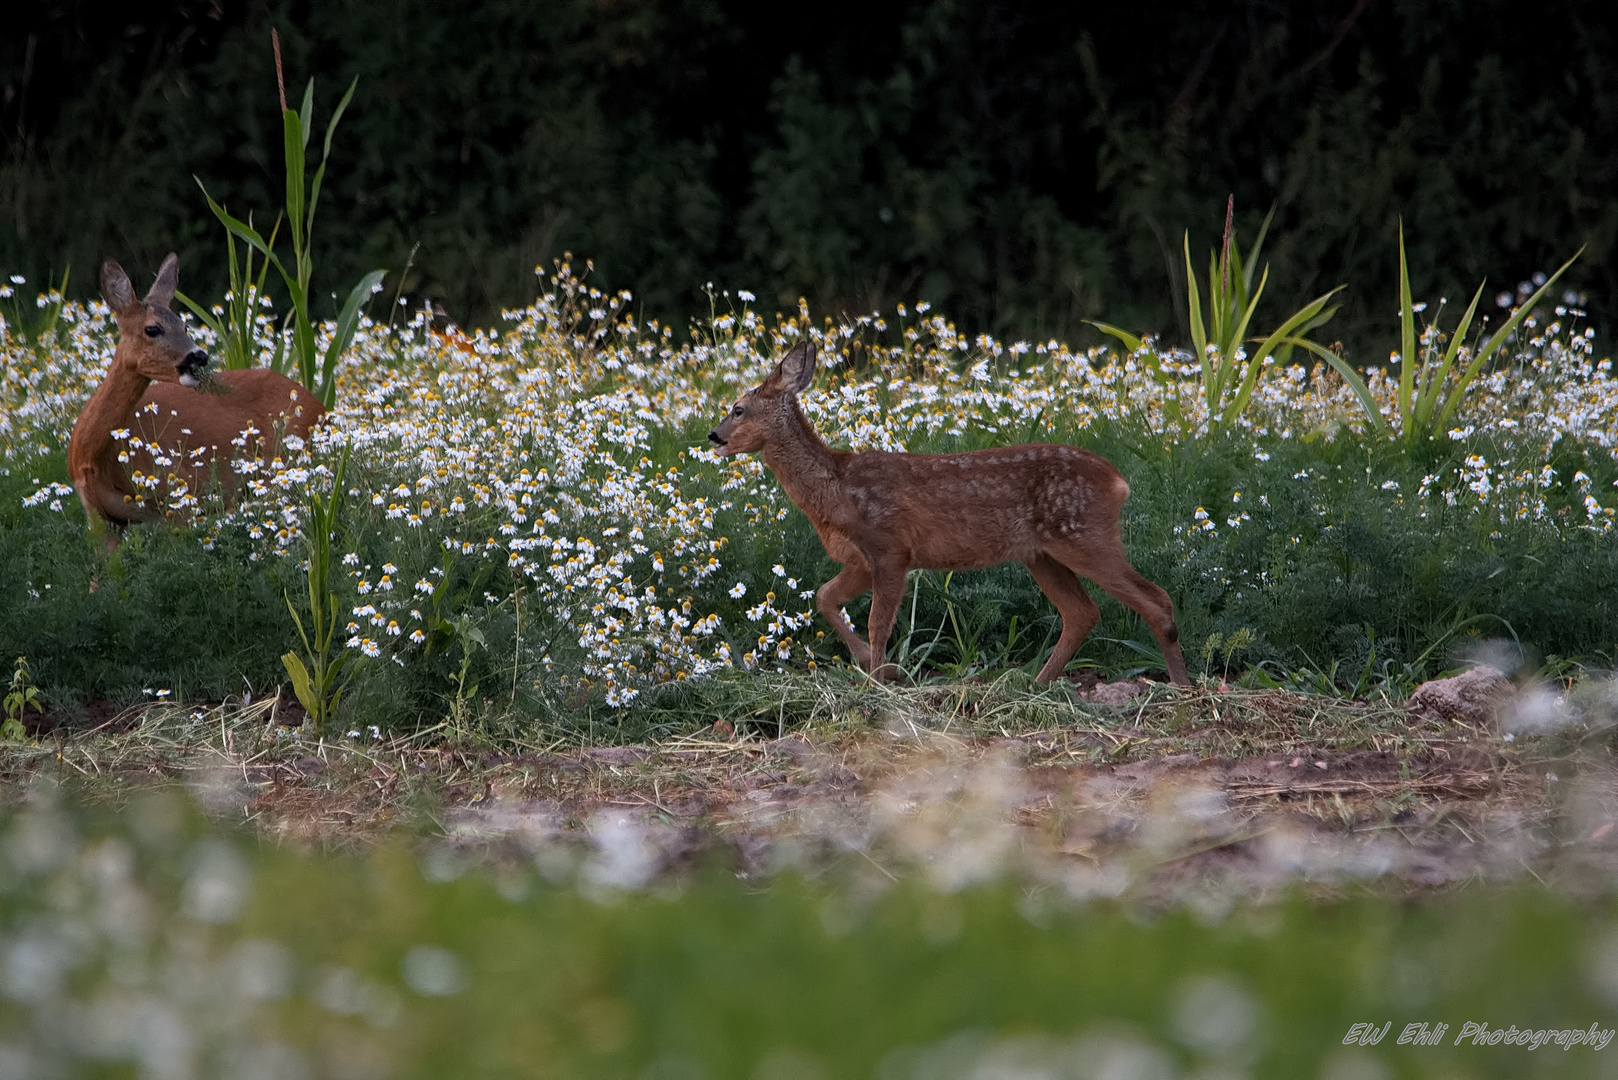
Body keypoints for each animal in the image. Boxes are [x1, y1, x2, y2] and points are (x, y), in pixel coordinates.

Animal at [67, 255, 323, 550]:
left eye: (185, 325)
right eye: (152, 329)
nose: (199, 356)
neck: (95, 459)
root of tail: (322, 408)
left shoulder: (182, 494)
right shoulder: (98, 516)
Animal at [708, 341, 1190, 689]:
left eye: (738, 408)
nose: (713, 436)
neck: (836, 490)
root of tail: (1118, 481)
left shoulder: (890, 547)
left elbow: (878, 622)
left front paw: (876, 681)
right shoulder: (862, 559)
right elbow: (826, 597)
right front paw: (877, 668)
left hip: (1083, 534)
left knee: (1154, 599)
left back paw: (1180, 686)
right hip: (1041, 553)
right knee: (1083, 612)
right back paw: (1035, 683)